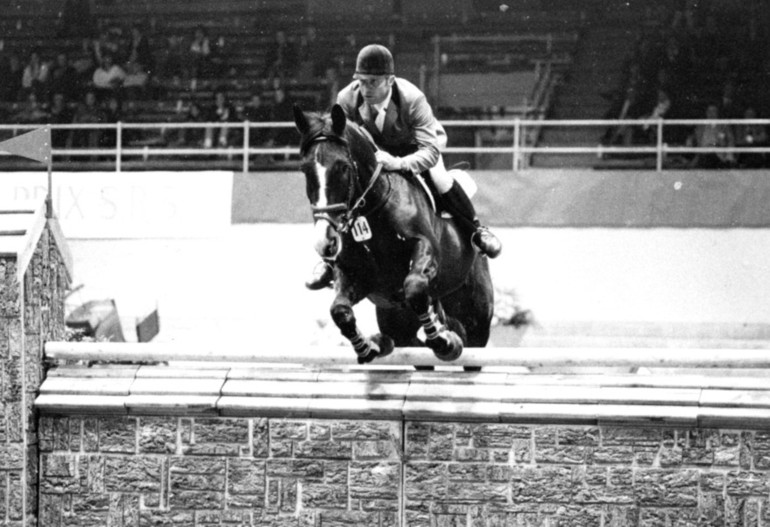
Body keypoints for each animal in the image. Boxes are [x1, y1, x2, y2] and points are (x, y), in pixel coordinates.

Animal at [294, 105, 492, 366]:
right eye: (305, 170)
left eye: (343, 167)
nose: (324, 241)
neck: (371, 208)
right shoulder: (356, 276)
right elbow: (340, 311)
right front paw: (367, 348)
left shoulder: (425, 248)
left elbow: (415, 287)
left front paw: (443, 342)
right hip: (397, 319)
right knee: (411, 341)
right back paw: (383, 342)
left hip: (477, 318)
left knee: (469, 339)